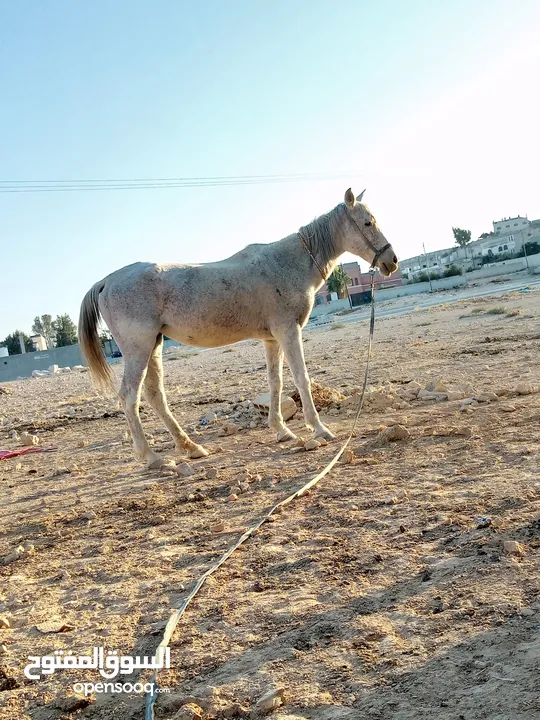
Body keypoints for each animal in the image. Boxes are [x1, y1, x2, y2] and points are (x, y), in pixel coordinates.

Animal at [81, 187, 400, 466]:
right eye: (367, 222)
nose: (392, 261)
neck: (289, 262)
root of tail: (106, 281)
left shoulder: (272, 339)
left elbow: (275, 382)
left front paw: (282, 431)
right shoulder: (288, 331)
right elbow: (301, 378)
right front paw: (319, 428)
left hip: (154, 345)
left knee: (155, 396)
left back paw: (191, 447)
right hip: (139, 348)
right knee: (129, 397)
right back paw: (152, 457)